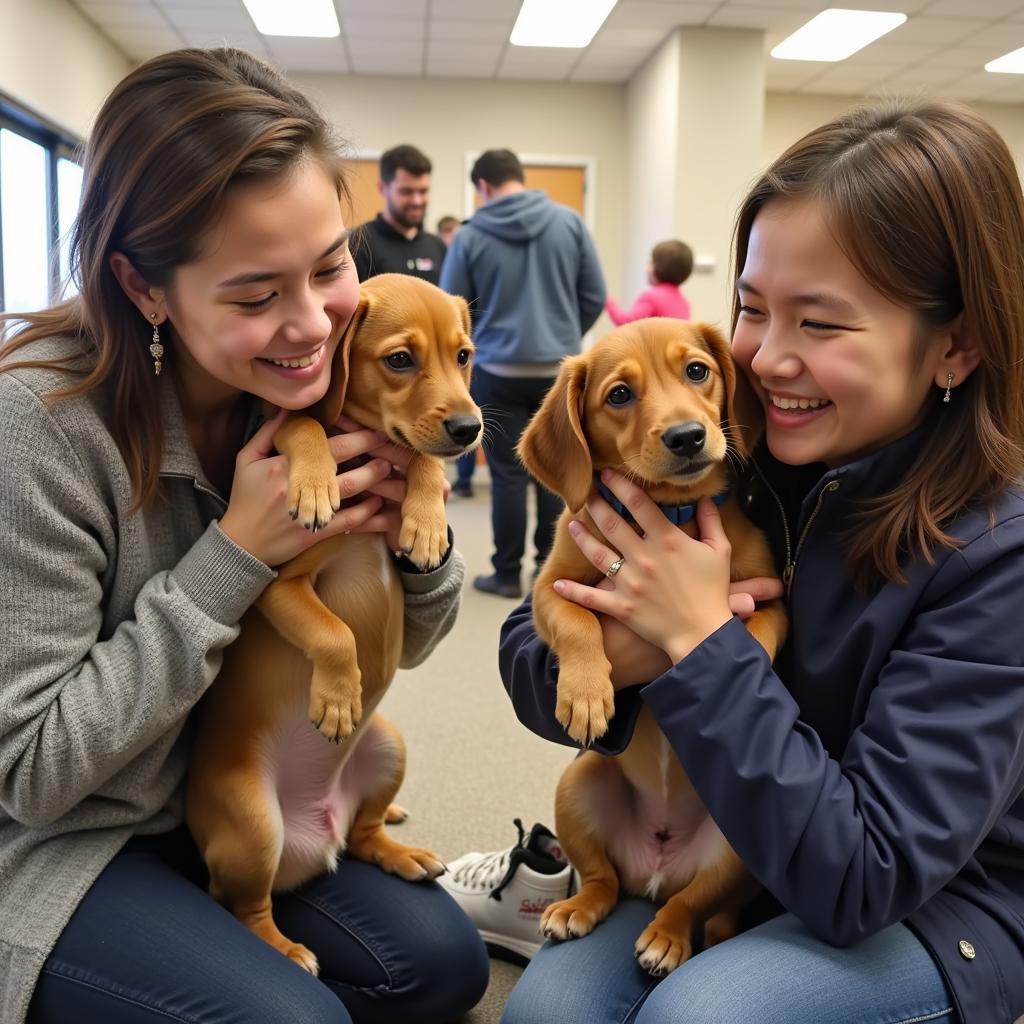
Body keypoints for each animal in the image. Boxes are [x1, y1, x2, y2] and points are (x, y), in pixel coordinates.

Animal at [186, 274, 481, 974]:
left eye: (463, 357)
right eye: (400, 360)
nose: (470, 428)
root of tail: (318, 834)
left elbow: (420, 460)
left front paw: (425, 522)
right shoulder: (277, 586)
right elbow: (335, 632)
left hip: (388, 748)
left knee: (364, 835)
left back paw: (402, 853)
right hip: (252, 825)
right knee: (241, 903)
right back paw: (285, 949)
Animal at [516, 319, 786, 974]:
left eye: (697, 371)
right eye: (619, 395)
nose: (688, 437)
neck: (670, 512)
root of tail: (657, 870)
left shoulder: (769, 596)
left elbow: (754, 633)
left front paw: (745, 678)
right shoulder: (549, 587)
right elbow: (578, 624)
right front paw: (586, 696)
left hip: (735, 849)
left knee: (694, 904)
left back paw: (668, 937)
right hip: (580, 784)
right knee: (603, 879)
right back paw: (576, 909)